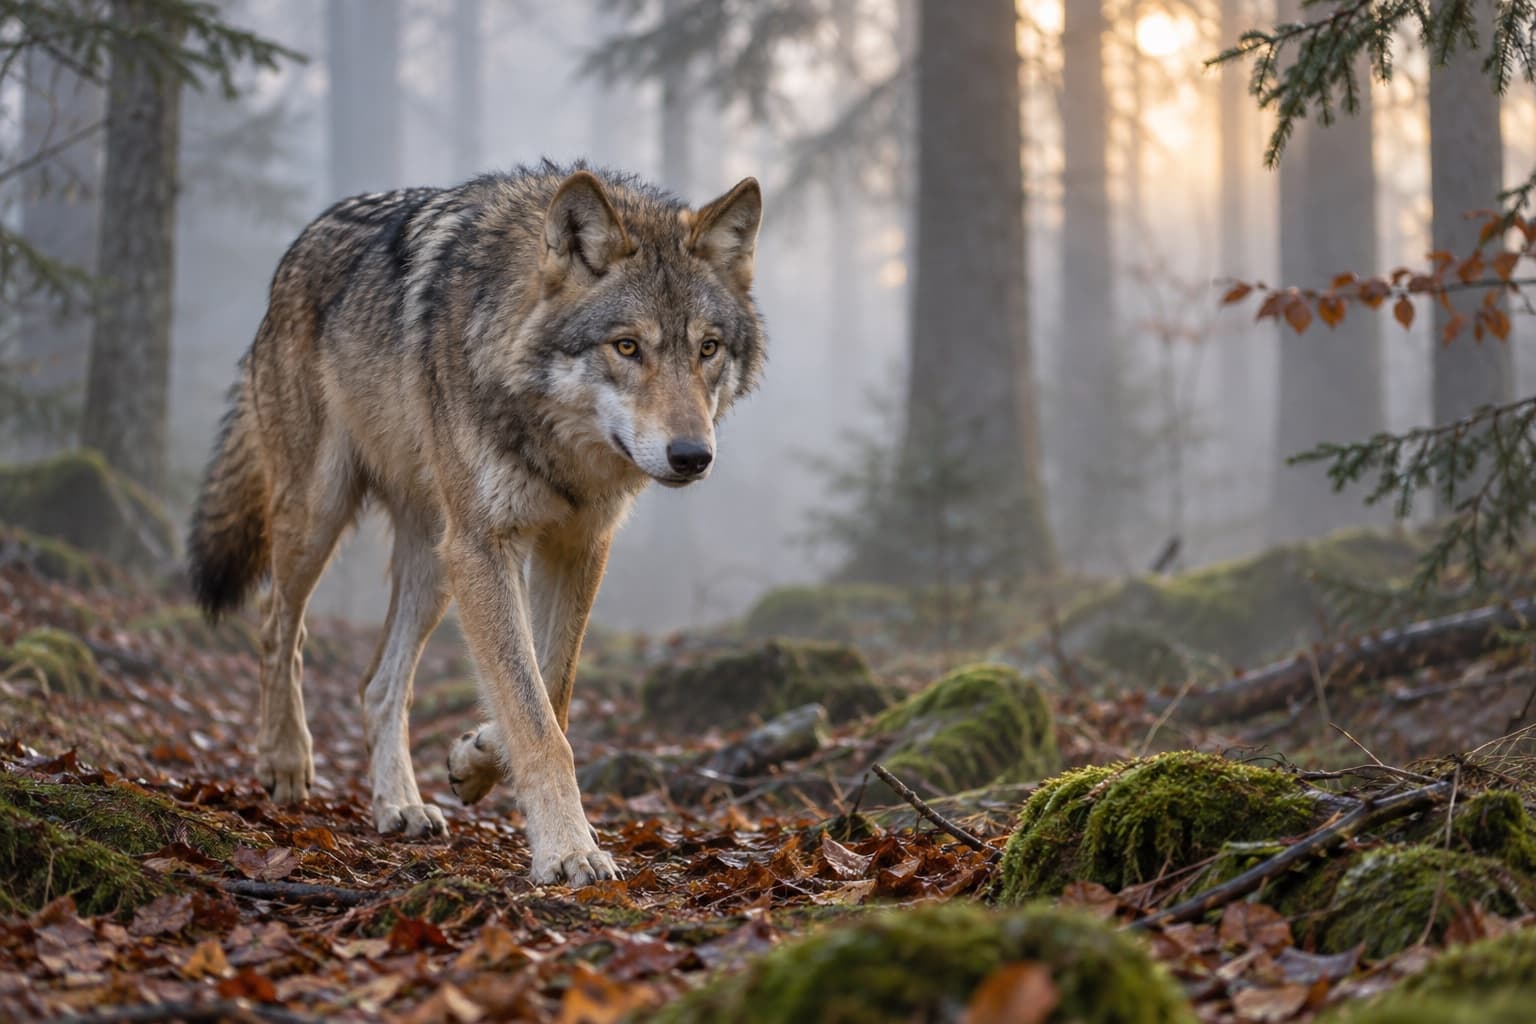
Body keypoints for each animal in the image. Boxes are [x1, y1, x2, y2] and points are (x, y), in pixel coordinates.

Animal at [187, 162, 764, 885]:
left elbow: (549, 690)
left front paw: (477, 757)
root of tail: (299, 245)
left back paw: (399, 805)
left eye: (708, 348)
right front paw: (568, 849)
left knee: (378, 682)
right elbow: (534, 714)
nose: (692, 455)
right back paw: (286, 760)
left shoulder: (577, 545)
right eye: (627, 347)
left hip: (436, 561)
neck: (556, 440)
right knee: (276, 626)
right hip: (324, 516)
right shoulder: (487, 546)